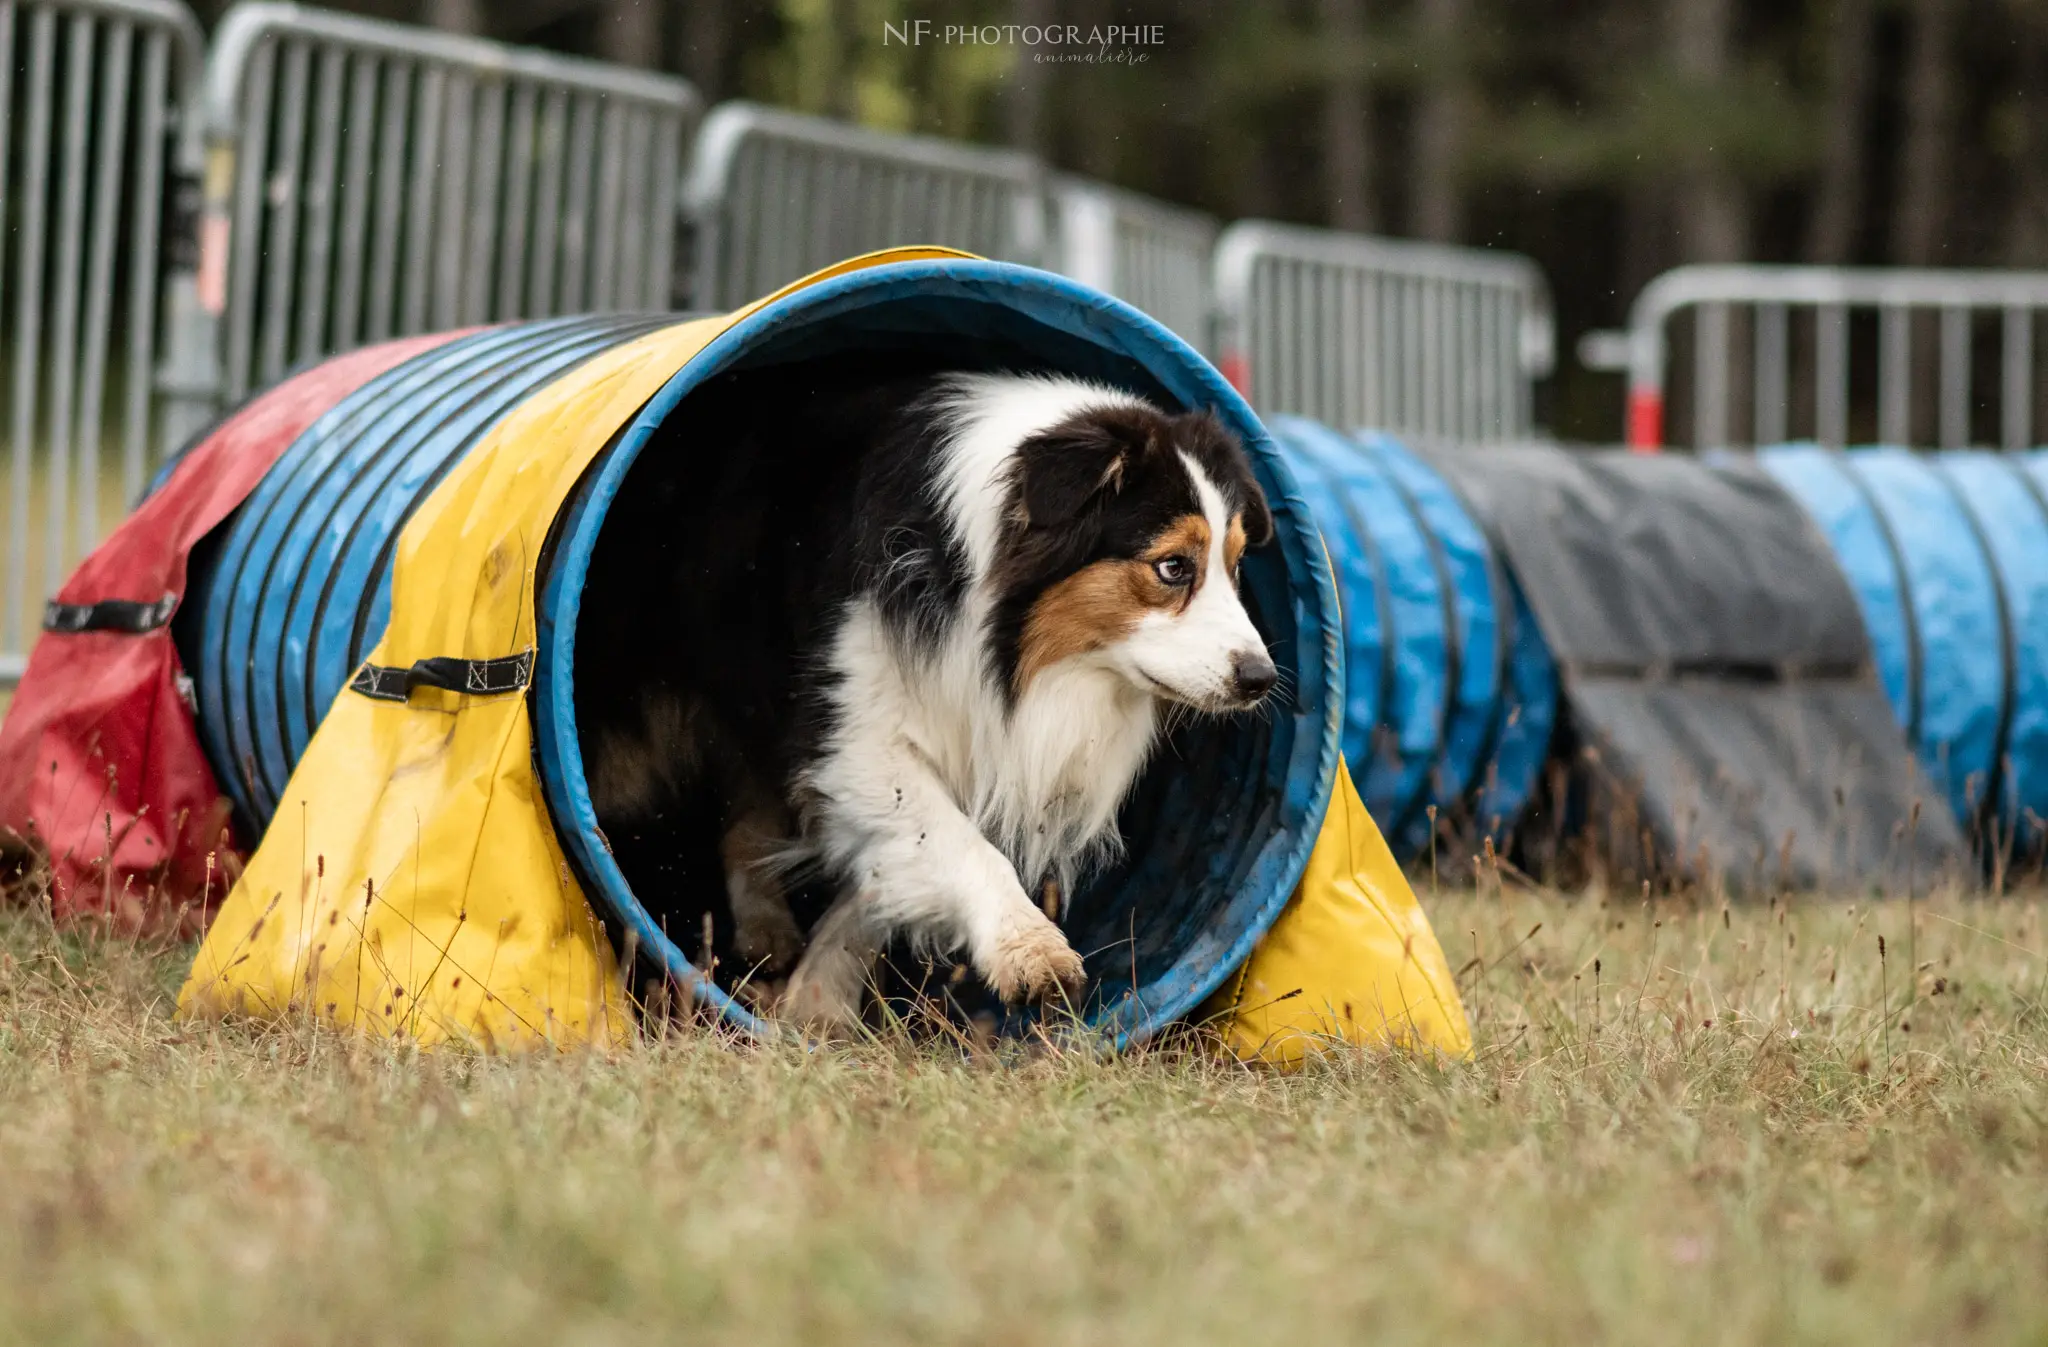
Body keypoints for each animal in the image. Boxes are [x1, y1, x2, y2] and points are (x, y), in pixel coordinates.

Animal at [585, 360, 1269, 1027]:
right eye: (1173, 566)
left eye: (1237, 564)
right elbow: (952, 838)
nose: (1261, 678)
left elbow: (881, 873)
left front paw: (819, 1002)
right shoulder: (854, 729)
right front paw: (1032, 950)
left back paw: (766, 934)